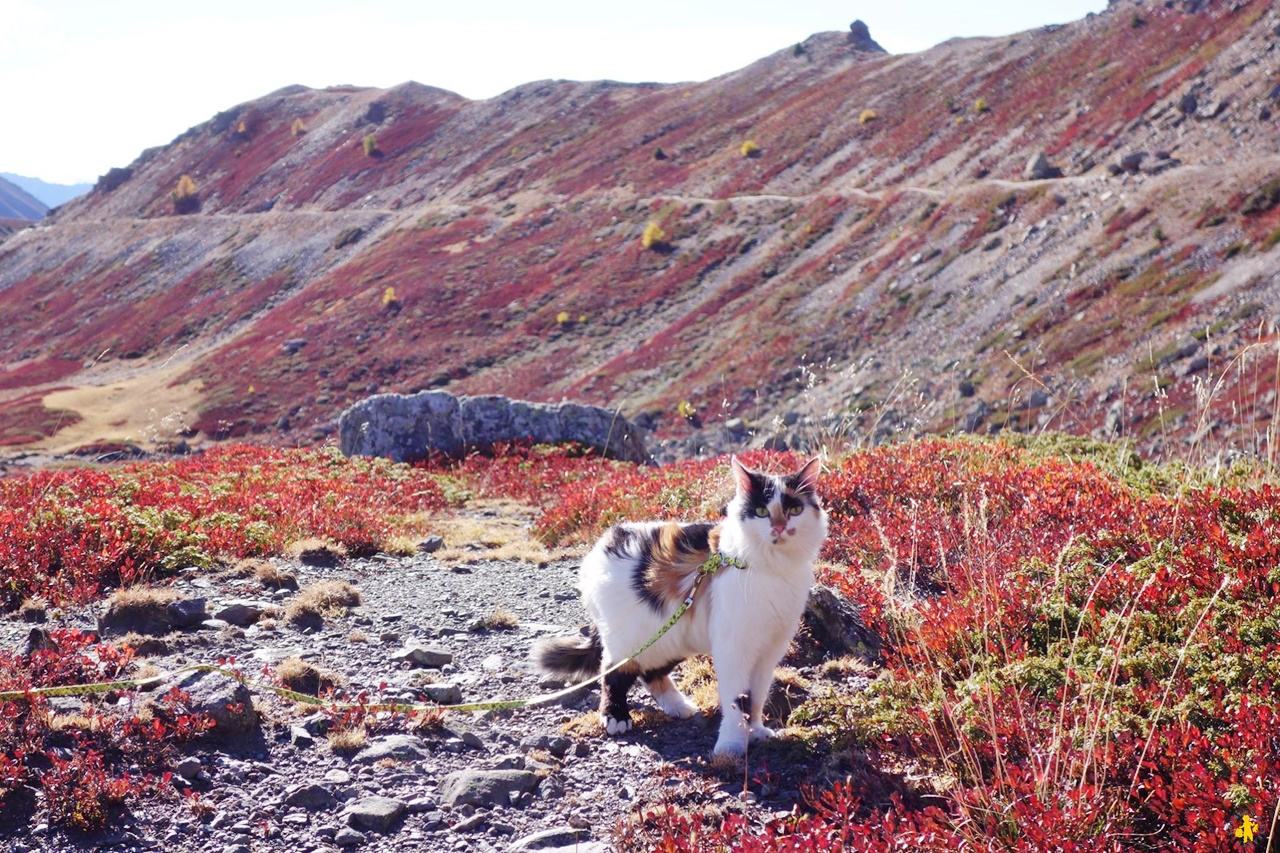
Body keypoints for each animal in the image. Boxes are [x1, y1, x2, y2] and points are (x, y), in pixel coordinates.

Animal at [532, 455, 824, 753]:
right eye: (762, 511)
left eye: (795, 509)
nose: (779, 527)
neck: (772, 569)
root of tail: (607, 539)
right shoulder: (734, 648)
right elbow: (736, 699)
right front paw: (731, 745)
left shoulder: (768, 652)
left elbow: (756, 698)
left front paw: (755, 731)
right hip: (631, 638)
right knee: (613, 670)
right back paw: (616, 716)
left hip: (672, 637)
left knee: (650, 673)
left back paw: (678, 706)